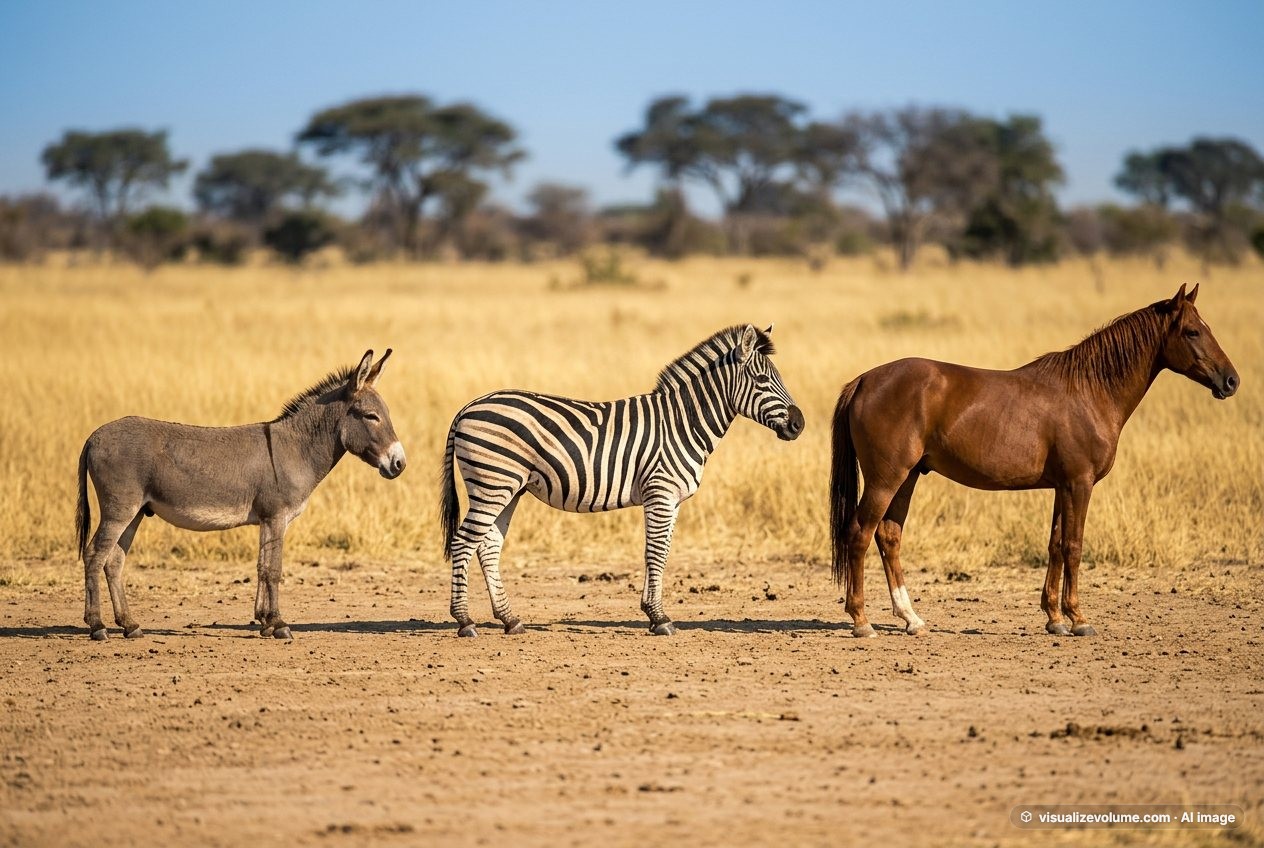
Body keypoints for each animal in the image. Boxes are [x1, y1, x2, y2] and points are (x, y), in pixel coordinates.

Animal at [76, 350, 406, 641]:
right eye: (371, 416)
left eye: (387, 414)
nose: (399, 463)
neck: (295, 448)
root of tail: (93, 436)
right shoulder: (276, 516)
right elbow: (273, 569)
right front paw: (279, 624)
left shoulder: (268, 520)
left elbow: (261, 567)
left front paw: (265, 622)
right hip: (119, 509)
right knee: (94, 555)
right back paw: (98, 627)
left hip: (135, 512)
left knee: (114, 561)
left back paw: (130, 626)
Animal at [439, 323, 805, 636]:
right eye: (761, 379)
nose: (799, 424)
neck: (683, 422)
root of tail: (467, 407)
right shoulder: (660, 492)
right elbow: (655, 553)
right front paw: (659, 617)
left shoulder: (673, 500)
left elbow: (663, 551)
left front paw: (654, 613)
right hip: (492, 484)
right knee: (463, 542)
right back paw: (465, 621)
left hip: (508, 488)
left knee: (488, 546)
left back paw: (510, 619)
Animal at [829, 284, 1238, 638]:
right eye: (1192, 332)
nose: (1231, 380)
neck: (1089, 391)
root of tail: (864, 380)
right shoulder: (1079, 484)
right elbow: (1074, 546)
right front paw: (1078, 619)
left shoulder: (1063, 486)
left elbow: (1055, 545)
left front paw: (1054, 618)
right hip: (886, 479)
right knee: (860, 534)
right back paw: (861, 621)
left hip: (908, 477)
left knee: (889, 536)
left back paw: (911, 618)